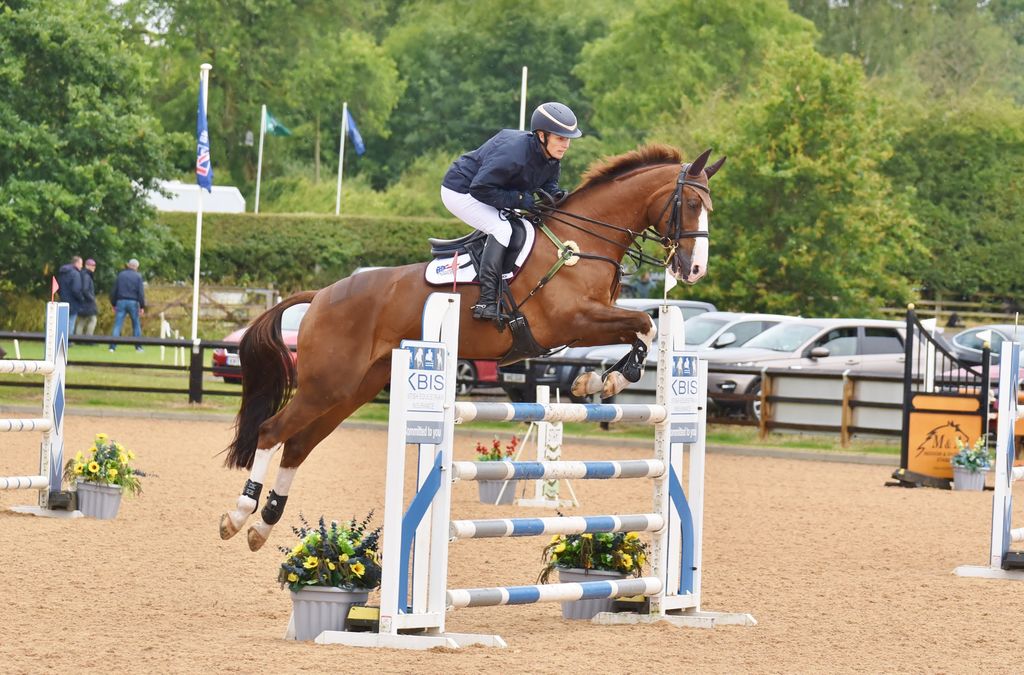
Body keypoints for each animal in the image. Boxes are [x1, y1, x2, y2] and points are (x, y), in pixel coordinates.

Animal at [220, 145, 724, 553]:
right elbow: (644, 324)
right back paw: (240, 515)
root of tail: (322, 294)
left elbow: (643, 330)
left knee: (298, 444)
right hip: (327, 384)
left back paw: (263, 526)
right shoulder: (575, 319)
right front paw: (605, 379)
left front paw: (599, 379)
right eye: (691, 203)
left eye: (709, 207)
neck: (582, 245)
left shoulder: (587, 325)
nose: (695, 269)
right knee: (272, 431)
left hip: (351, 390)